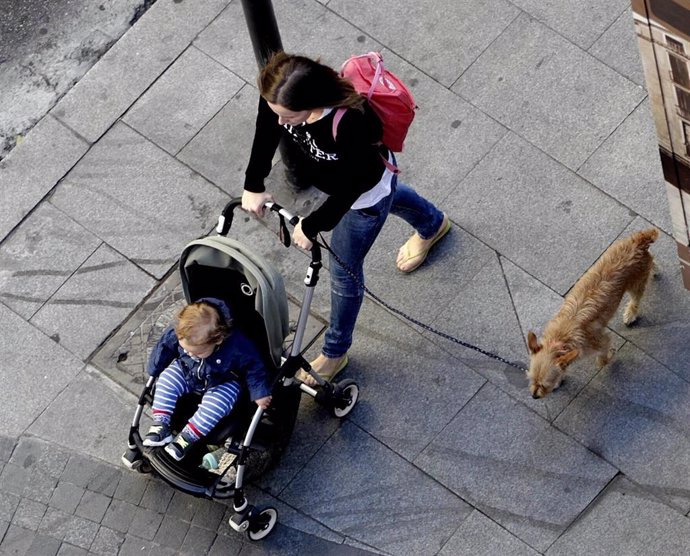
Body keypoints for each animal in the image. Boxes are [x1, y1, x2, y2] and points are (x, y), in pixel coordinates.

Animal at [524, 228, 660, 398]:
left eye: (544, 385)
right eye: (531, 380)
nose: (534, 396)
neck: (559, 341)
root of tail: (637, 241)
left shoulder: (601, 341)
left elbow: (602, 360)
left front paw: (610, 356)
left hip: (635, 284)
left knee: (636, 299)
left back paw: (631, 313)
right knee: (652, 261)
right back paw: (655, 270)